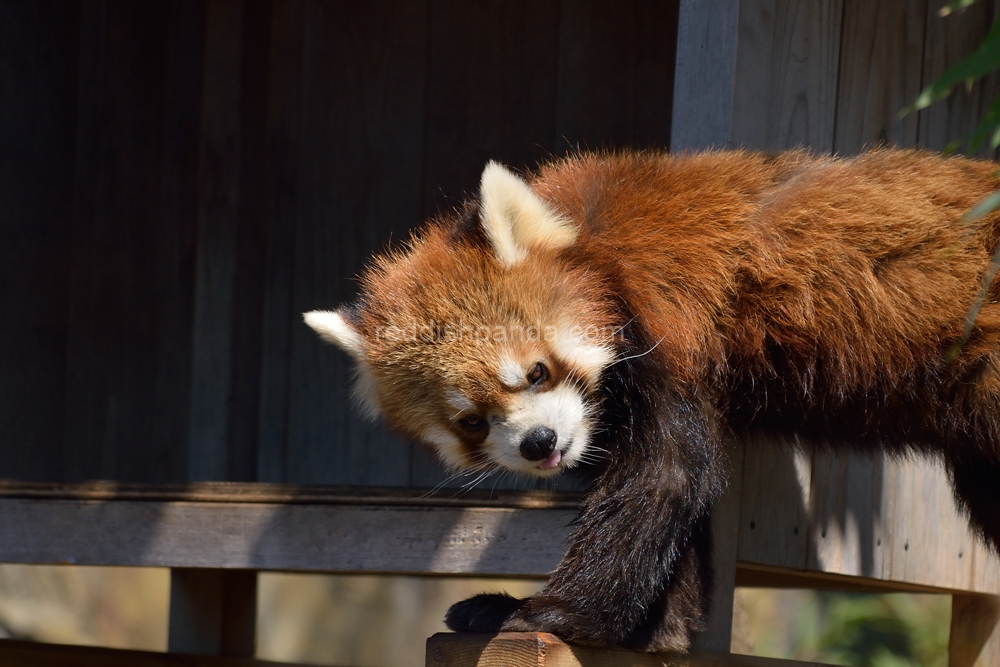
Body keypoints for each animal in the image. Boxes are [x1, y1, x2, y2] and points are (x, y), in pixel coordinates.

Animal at [302, 150, 1000, 652]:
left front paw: (547, 612)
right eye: (471, 422)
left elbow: (664, 475)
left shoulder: (669, 330)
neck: (595, 246)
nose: (539, 443)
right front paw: (654, 630)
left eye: (535, 372)